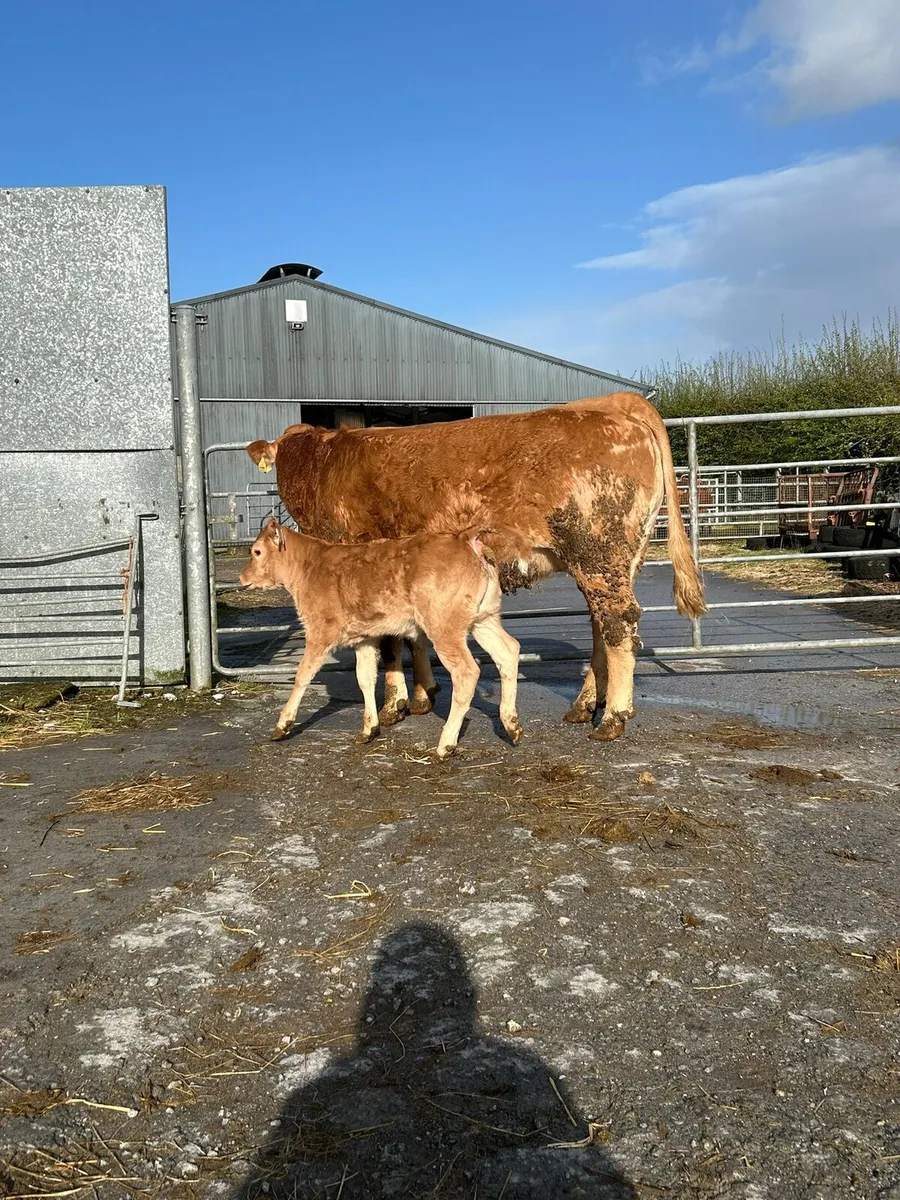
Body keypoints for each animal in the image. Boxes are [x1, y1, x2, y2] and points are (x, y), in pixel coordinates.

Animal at [238, 518, 523, 759]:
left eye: (257, 552)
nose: (241, 577)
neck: (309, 566)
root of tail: (463, 536)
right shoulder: (364, 638)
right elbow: (365, 679)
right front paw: (368, 729)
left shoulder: (320, 631)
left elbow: (303, 675)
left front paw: (283, 725)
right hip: (484, 620)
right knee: (508, 651)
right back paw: (511, 725)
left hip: (444, 627)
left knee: (466, 672)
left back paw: (445, 745)